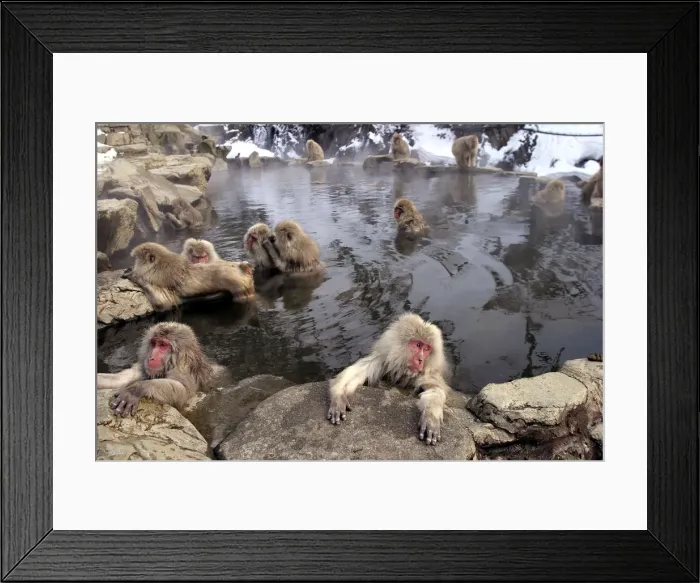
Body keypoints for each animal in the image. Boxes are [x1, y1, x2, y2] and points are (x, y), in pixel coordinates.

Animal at [125, 242, 255, 310]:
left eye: (137, 259)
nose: (133, 265)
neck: (159, 263)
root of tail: (243, 268)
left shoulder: (157, 276)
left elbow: (162, 304)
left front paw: (134, 276)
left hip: (239, 285)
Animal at [327, 312, 452, 446]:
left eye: (427, 349)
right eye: (418, 345)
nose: (421, 360)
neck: (403, 370)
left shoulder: (427, 373)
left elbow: (435, 389)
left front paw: (431, 417)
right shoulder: (383, 358)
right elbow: (355, 372)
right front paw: (338, 398)